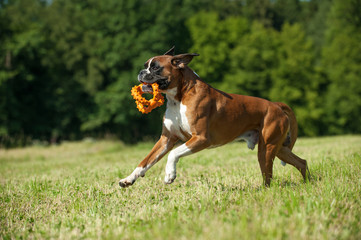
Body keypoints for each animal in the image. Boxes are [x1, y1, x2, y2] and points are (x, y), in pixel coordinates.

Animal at [119, 47, 310, 188]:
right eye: (146, 65)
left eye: (155, 67)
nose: (141, 72)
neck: (179, 97)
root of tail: (276, 105)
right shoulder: (166, 140)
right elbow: (146, 161)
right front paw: (128, 179)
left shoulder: (201, 139)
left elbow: (173, 153)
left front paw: (169, 175)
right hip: (278, 148)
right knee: (301, 162)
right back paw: (307, 182)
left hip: (267, 149)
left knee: (268, 175)